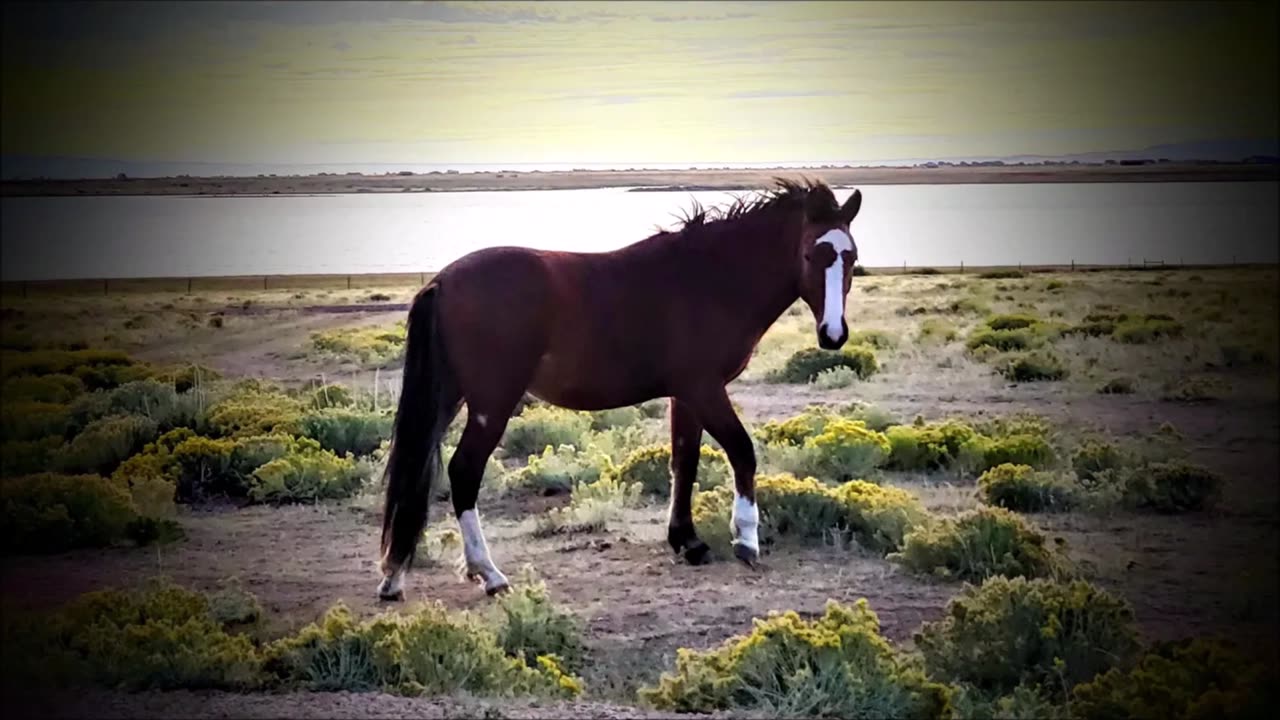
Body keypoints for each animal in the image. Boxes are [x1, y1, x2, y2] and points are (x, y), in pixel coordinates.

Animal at [373, 176, 865, 597]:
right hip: (492, 403)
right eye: (811, 255)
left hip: (450, 397)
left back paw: (394, 577)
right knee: (463, 472)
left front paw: (686, 541)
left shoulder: (685, 396)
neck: (707, 280)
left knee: (418, 469)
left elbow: (683, 462)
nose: (833, 335)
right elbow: (741, 451)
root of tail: (443, 280)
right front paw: (745, 539)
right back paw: (489, 573)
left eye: (851, 258)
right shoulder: (705, 389)